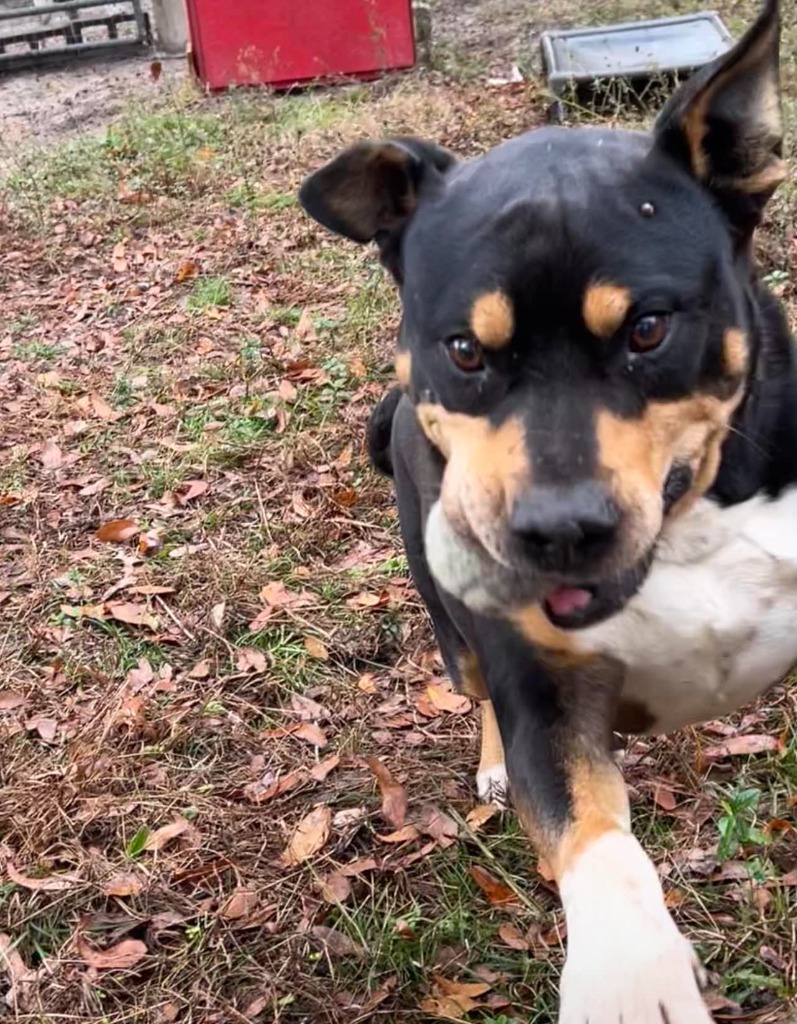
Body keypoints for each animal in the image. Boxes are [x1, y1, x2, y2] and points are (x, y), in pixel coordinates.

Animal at [297, 4, 786, 1019]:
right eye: (463, 351)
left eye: (647, 328)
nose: (559, 533)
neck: (689, 537)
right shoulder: (545, 703)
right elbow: (588, 832)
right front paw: (633, 973)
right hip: (449, 616)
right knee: (474, 681)